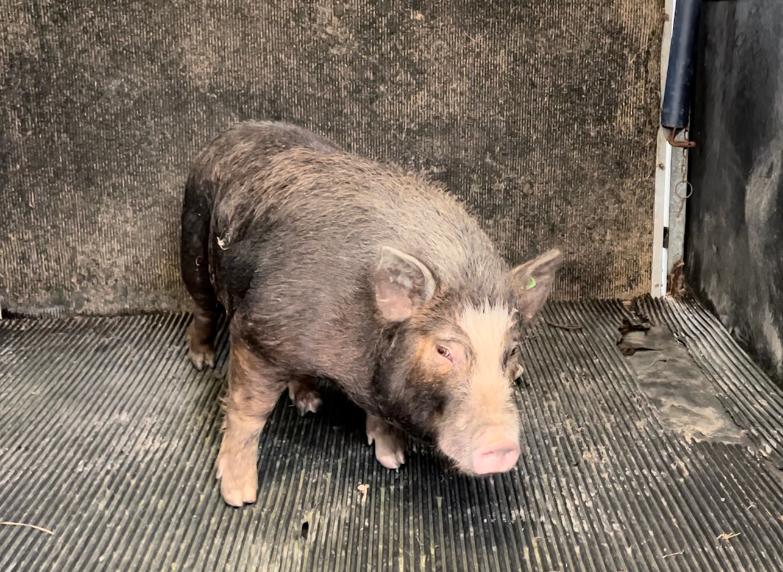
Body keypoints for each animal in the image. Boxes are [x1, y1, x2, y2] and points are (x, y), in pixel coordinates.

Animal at [180, 121, 562, 507]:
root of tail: (237, 130)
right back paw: (202, 361)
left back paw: (310, 402)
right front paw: (239, 496)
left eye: (511, 351)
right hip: (193, 229)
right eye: (444, 350)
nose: (501, 447)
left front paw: (394, 460)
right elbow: (249, 411)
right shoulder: (258, 329)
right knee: (202, 304)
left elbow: (379, 416)